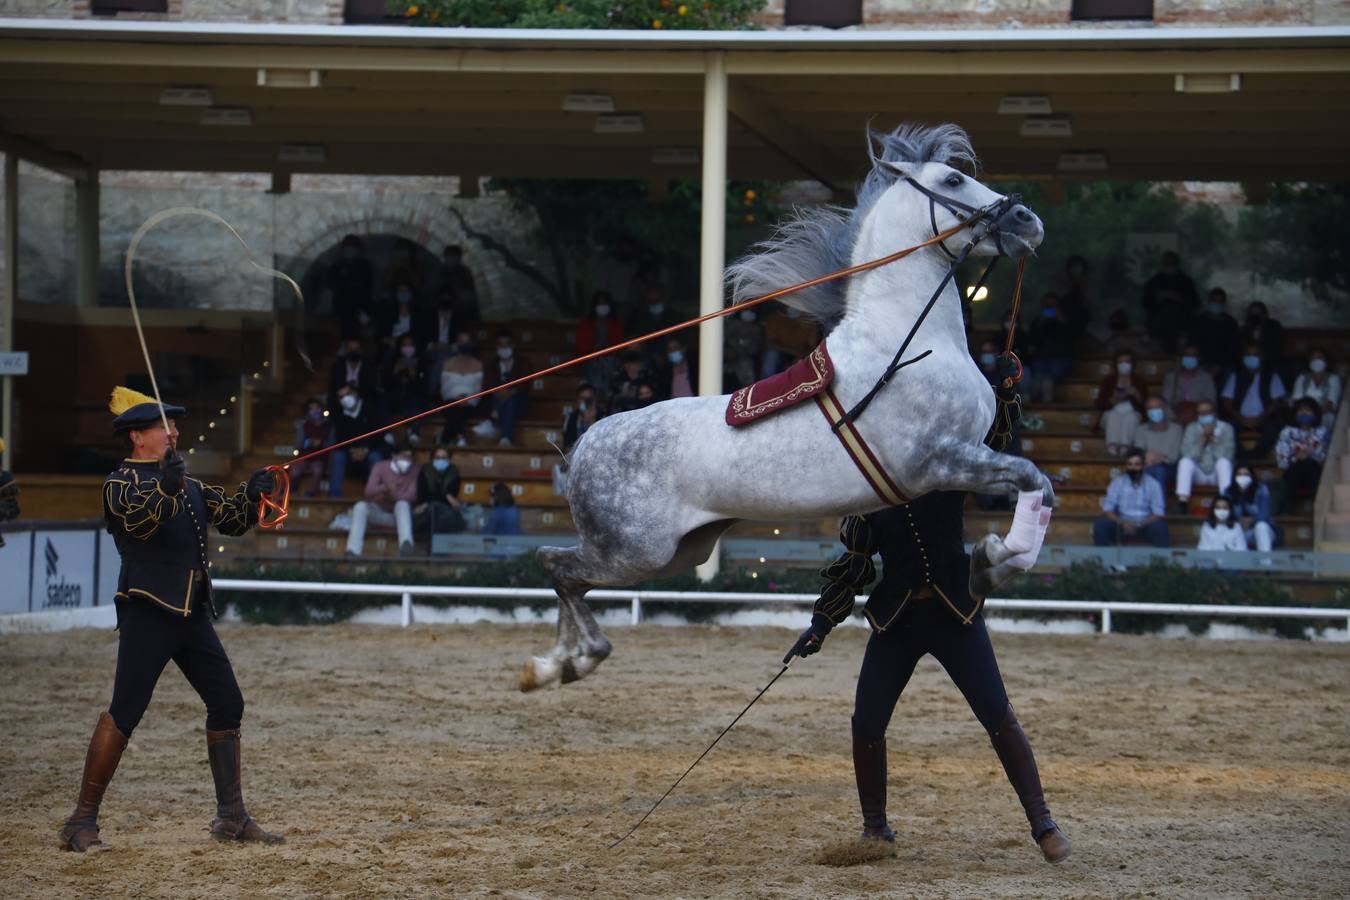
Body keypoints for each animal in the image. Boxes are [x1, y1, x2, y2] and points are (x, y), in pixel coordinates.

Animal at [521, 123, 1047, 690]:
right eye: (953, 179)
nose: (1028, 220)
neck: (908, 344)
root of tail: (582, 444)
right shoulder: (939, 461)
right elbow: (1033, 478)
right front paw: (992, 562)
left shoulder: (969, 455)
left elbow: (1034, 484)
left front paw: (994, 560)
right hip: (635, 553)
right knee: (554, 564)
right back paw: (565, 662)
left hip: (679, 550)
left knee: (564, 573)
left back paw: (556, 664)